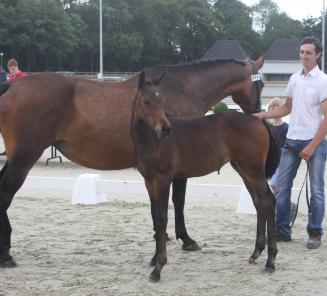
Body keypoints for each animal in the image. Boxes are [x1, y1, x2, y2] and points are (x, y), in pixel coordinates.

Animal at [132, 72, 280, 282]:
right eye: (146, 101)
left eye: (161, 100)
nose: (165, 128)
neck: (152, 139)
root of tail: (258, 120)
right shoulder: (148, 180)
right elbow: (155, 217)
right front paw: (154, 259)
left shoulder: (163, 179)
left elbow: (162, 218)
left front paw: (158, 268)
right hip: (243, 170)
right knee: (260, 202)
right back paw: (256, 253)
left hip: (253, 170)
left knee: (267, 202)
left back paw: (270, 261)